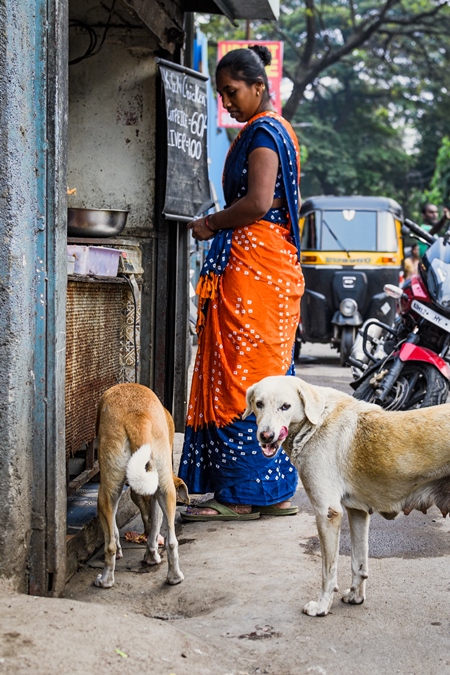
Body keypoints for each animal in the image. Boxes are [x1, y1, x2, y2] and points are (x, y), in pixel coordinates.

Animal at [95, 382, 188, 588]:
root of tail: (136, 416)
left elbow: (115, 529)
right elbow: (153, 524)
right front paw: (151, 554)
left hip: (104, 494)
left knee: (110, 545)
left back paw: (105, 580)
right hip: (165, 488)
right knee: (171, 541)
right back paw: (174, 576)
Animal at [244, 374, 450, 616]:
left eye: (285, 406)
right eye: (259, 404)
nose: (266, 436)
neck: (315, 422)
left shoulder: (327, 513)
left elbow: (328, 571)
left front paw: (322, 606)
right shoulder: (358, 512)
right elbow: (358, 562)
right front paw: (355, 596)